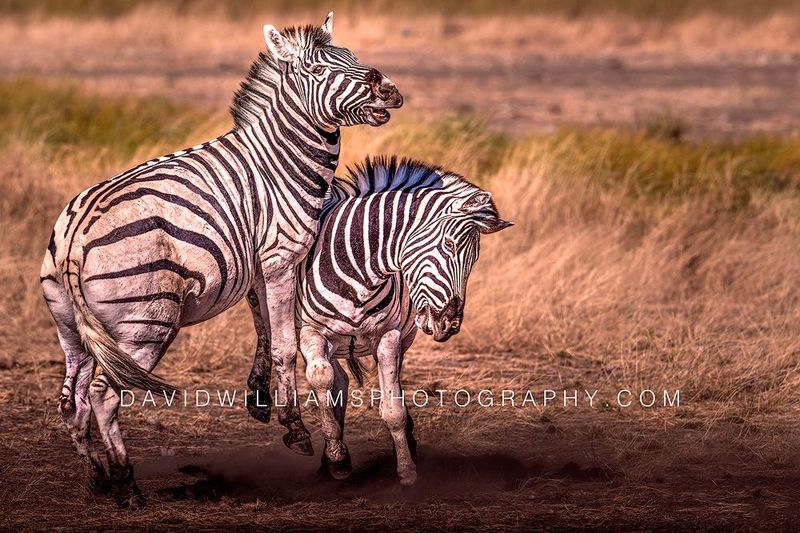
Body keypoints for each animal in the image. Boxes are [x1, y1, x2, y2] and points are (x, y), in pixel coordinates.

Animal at [39, 14, 402, 508]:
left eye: (353, 57)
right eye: (316, 70)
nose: (387, 89)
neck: (281, 161)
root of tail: (74, 237)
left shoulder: (257, 266)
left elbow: (265, 331)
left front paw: (264, 403)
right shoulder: (282, 255)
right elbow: (286, 343)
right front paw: (296, 431)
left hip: (70, 325)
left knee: (72, 399)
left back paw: (97, 479)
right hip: (144, 322)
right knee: (103, 396)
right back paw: (127, 485)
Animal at [294, 156, 512, 485]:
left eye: (474, 260)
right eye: (448, 245)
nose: (450, 324)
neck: (359, 271)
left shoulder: (389, 335)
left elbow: (393, 409)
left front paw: (407, 470)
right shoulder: (311, 332)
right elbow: (322, 379)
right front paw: (337, 456)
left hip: (402, 338)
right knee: (336, 378)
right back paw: (330, 462)